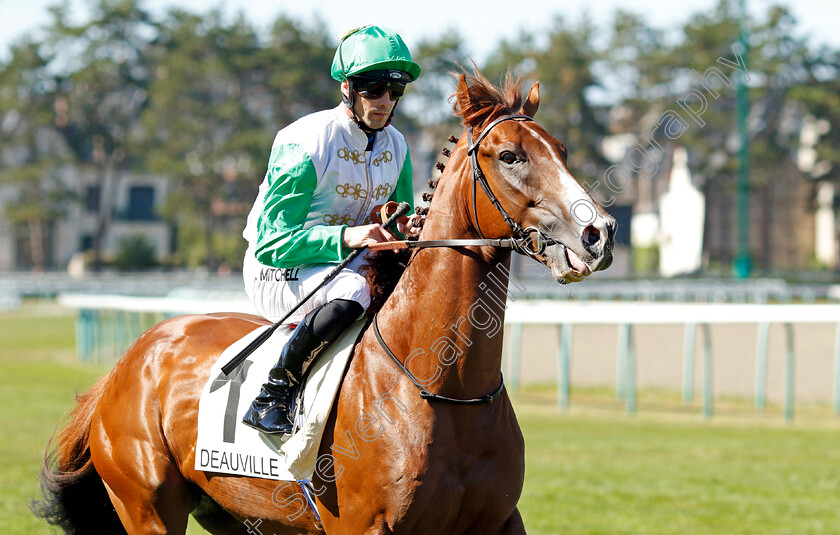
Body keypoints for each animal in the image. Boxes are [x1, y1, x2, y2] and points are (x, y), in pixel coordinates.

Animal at [34, 69, 616, 532]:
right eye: (510, 155)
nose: (599, 233)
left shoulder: (498, 520)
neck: (444, 387)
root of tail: (126, 363)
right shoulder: (364, 526)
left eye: (562, 151)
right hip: (147, 508)